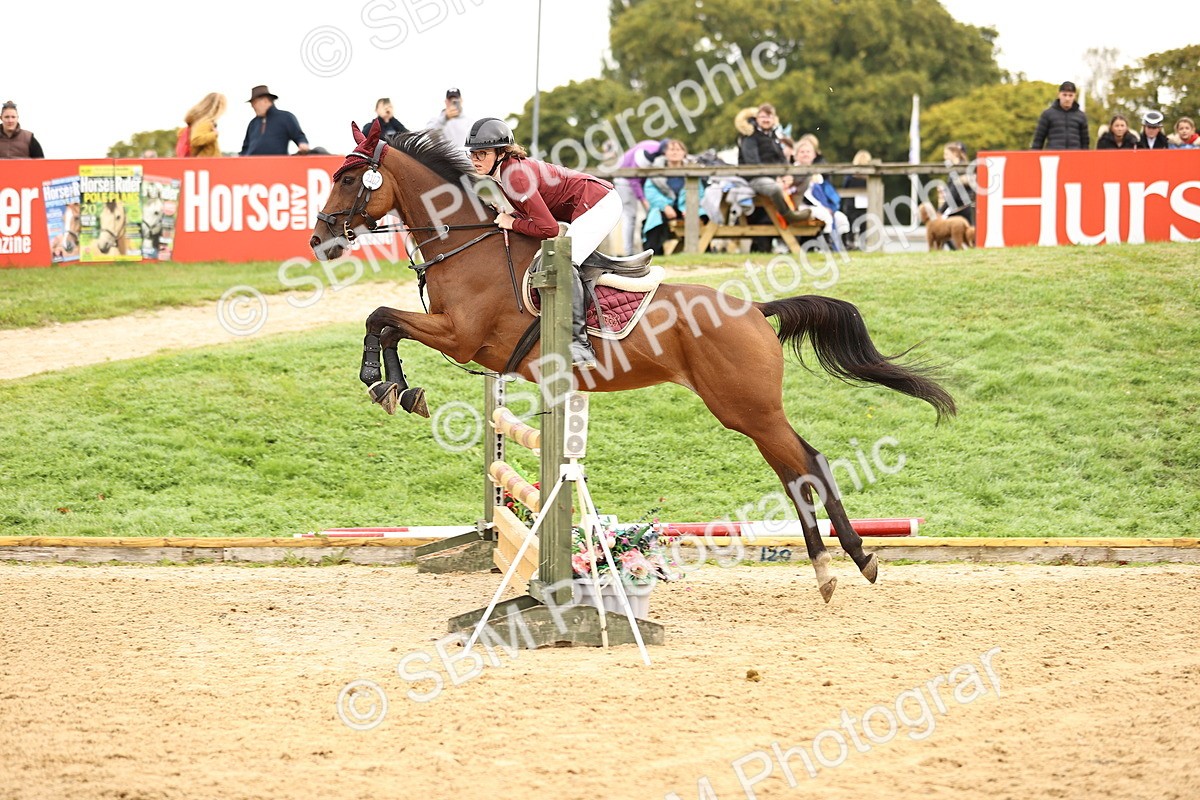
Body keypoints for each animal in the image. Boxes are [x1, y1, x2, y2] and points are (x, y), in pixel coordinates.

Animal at [309, 125, 956, 603]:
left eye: (349, 177)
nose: (320, 241)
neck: (466, 246)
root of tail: (754, 309)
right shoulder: (457, 338)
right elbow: (383, 322)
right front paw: (395, 388)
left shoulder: (462, 337)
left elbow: (380, 317)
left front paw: (386, 385)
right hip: (748, 411)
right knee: (799, 467)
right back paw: (836, 565)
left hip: (746, 407)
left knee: (807, 465)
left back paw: (853, 561)